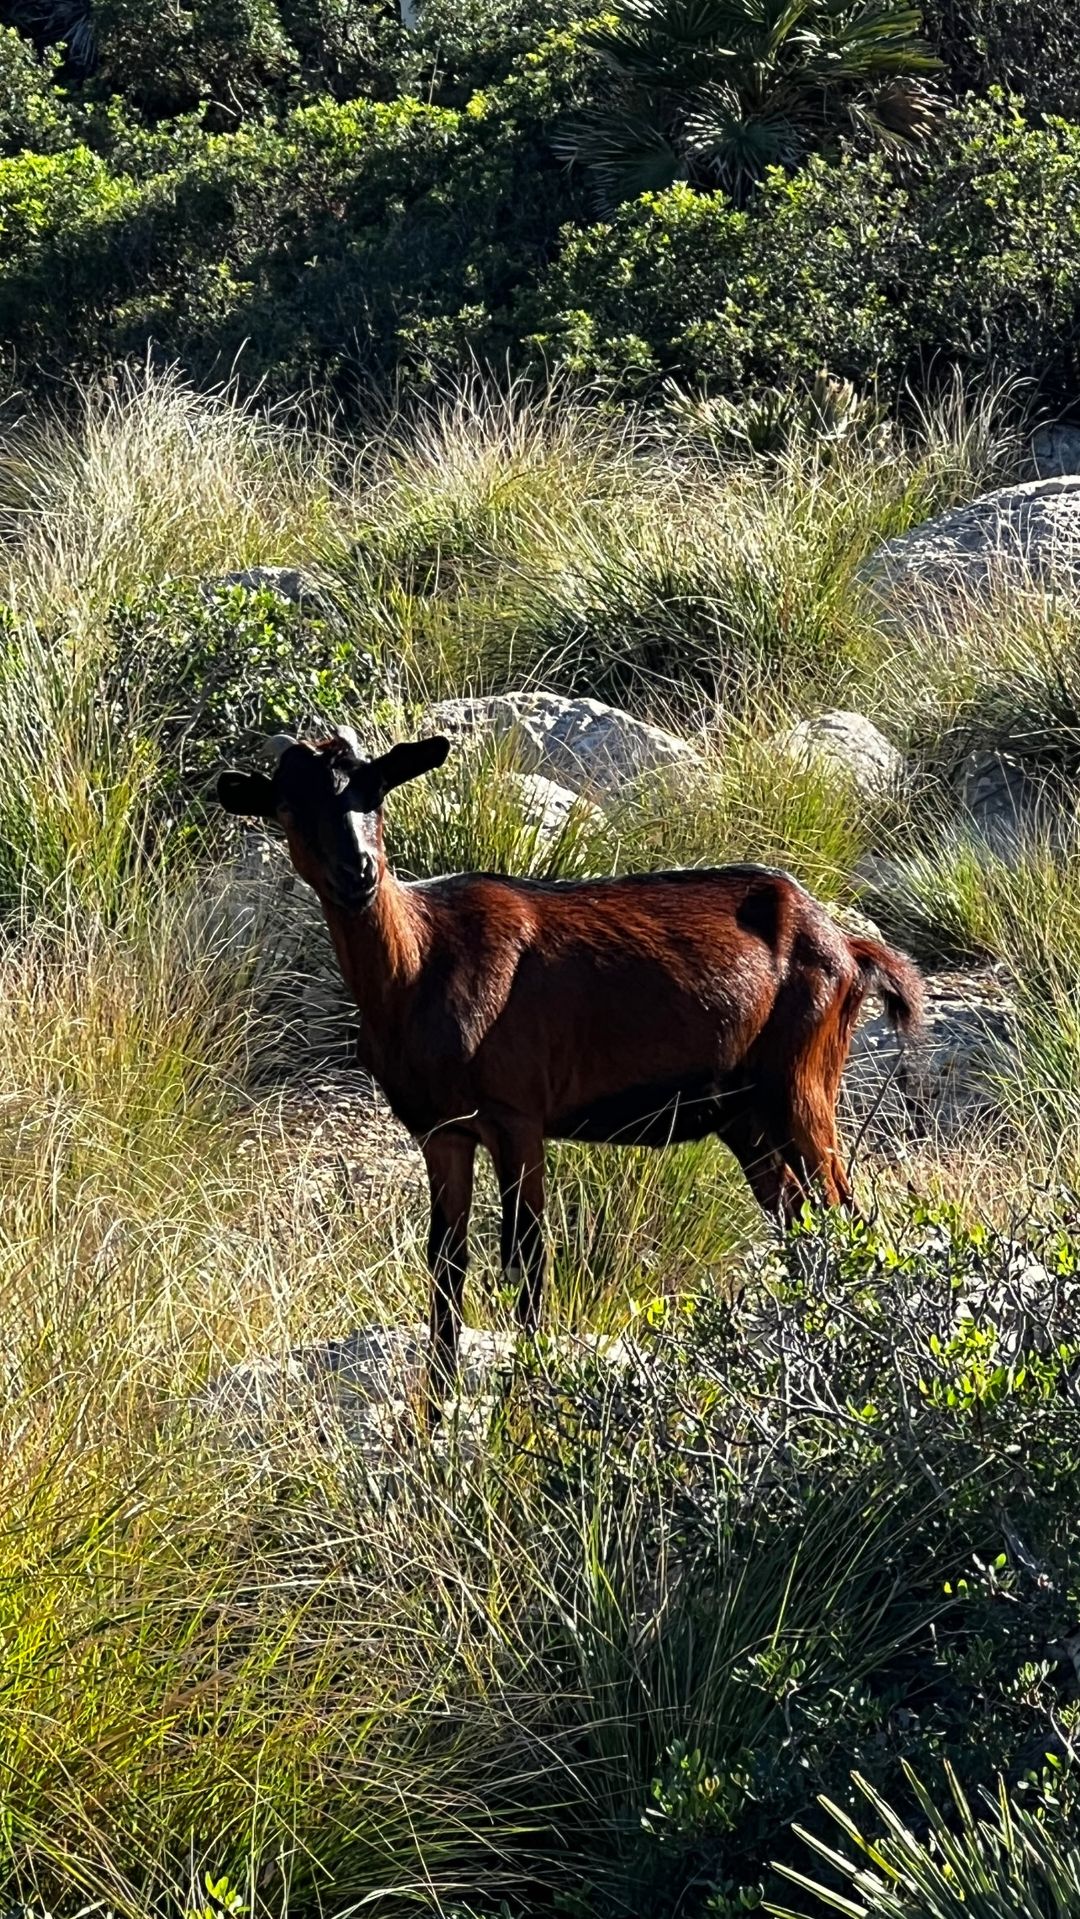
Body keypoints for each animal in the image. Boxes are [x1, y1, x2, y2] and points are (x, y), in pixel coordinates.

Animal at [217, 725, 920, 1420]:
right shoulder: (442, 1132)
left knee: (843, 1212)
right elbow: (446, 1262)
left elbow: (527, 1255)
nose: (358, 870)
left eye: (377, 788)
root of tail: (847, 947)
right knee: (799, 1224)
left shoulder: (517, 1117)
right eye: (289, 806)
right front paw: (434, 1411)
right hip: (743, 1114)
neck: (420, 965)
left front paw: (525, 1401)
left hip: (802, 1080)